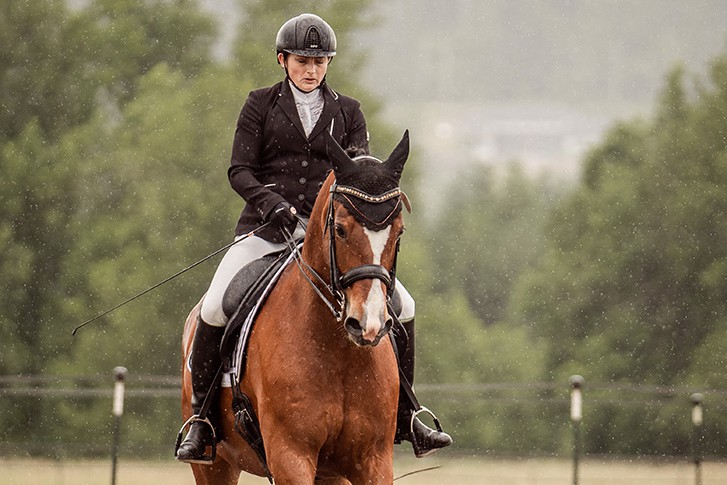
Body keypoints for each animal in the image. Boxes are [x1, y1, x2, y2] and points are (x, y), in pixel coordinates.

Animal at [180, 130, 412, 482]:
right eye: (340, 229)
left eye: (399, 232)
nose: (368, 325)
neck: (338, 352)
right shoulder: (291, 456)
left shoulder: (373, 459)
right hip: (216, 464)